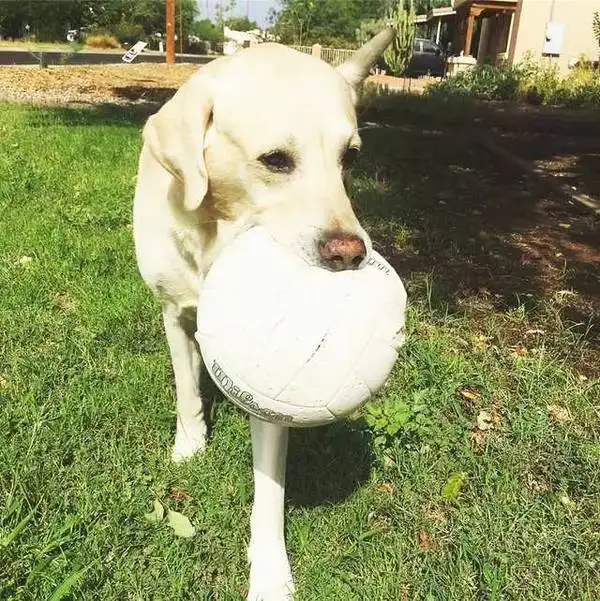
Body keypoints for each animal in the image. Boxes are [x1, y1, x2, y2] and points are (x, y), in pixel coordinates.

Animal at [135, 28, 398, 600]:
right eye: (276, 160)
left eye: (350, 159)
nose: (351, 252)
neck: (215, 237)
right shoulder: (172, 310)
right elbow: (187, 391)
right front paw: (190, 444)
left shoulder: (272, 399)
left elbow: (270, 487)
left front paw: (271, 570)